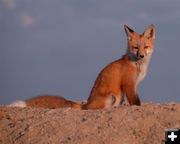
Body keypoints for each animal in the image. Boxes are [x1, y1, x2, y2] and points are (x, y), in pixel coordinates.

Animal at [8, 24, 155, 109]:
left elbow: (137, 101)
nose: (141, 55)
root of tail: (86, 104)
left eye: (145, 47)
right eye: (136, 47)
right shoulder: (128, 84)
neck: (138, 65)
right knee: (95, 109)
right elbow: (136, 102)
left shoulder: (134, 86)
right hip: (112, 96)